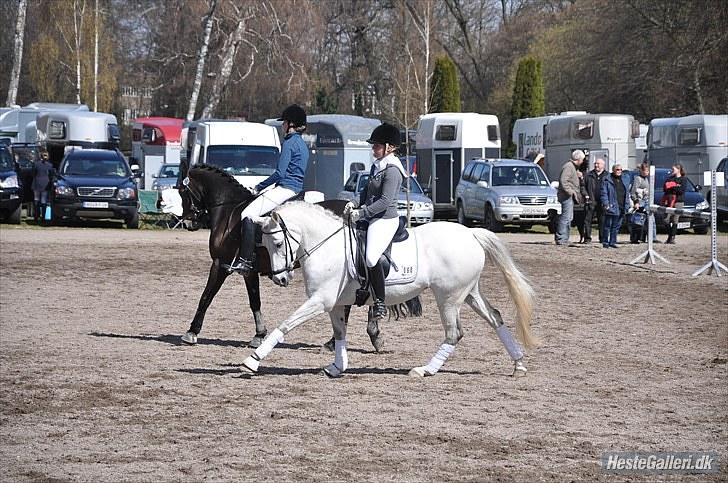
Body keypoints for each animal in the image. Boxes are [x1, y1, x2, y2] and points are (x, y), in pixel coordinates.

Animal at [174, 164, 420, 350]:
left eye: (182, 192)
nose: (189, 223)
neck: (229, 211)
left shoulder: (221, 264)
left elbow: (206, 296)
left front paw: (191, 332)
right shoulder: (248, 271)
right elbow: (254, 300)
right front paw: (259, 334)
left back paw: (344, 339)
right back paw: (364, 335)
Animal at [245, 200, 540, 378]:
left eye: (278, 244)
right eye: (265, 245)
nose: (281, 279)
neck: (327, 246)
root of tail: (470, 233)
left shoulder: (320, 300)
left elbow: (286, 324)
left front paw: (253, 360)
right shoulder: (337, 304)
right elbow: (340, 334)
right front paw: (337, 366)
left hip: (449, 297)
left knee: (454, 333)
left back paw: (425, 370)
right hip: (468, 293)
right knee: (495, 318)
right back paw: (519, 364)